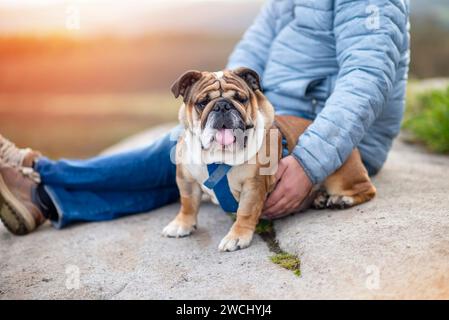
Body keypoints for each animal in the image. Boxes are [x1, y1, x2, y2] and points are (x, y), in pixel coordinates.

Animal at [161, 68, 374, 252]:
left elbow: (245, 212)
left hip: (342, 175)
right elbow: (188, 204)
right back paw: (320, 198)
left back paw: (341, 199)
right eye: (202, 103)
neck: (218, 156)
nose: (222, 105)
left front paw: (237, 236)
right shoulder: (186, 179)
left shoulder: (253, 185)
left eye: (241, 99)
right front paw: (181, 224)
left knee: (367, 189)